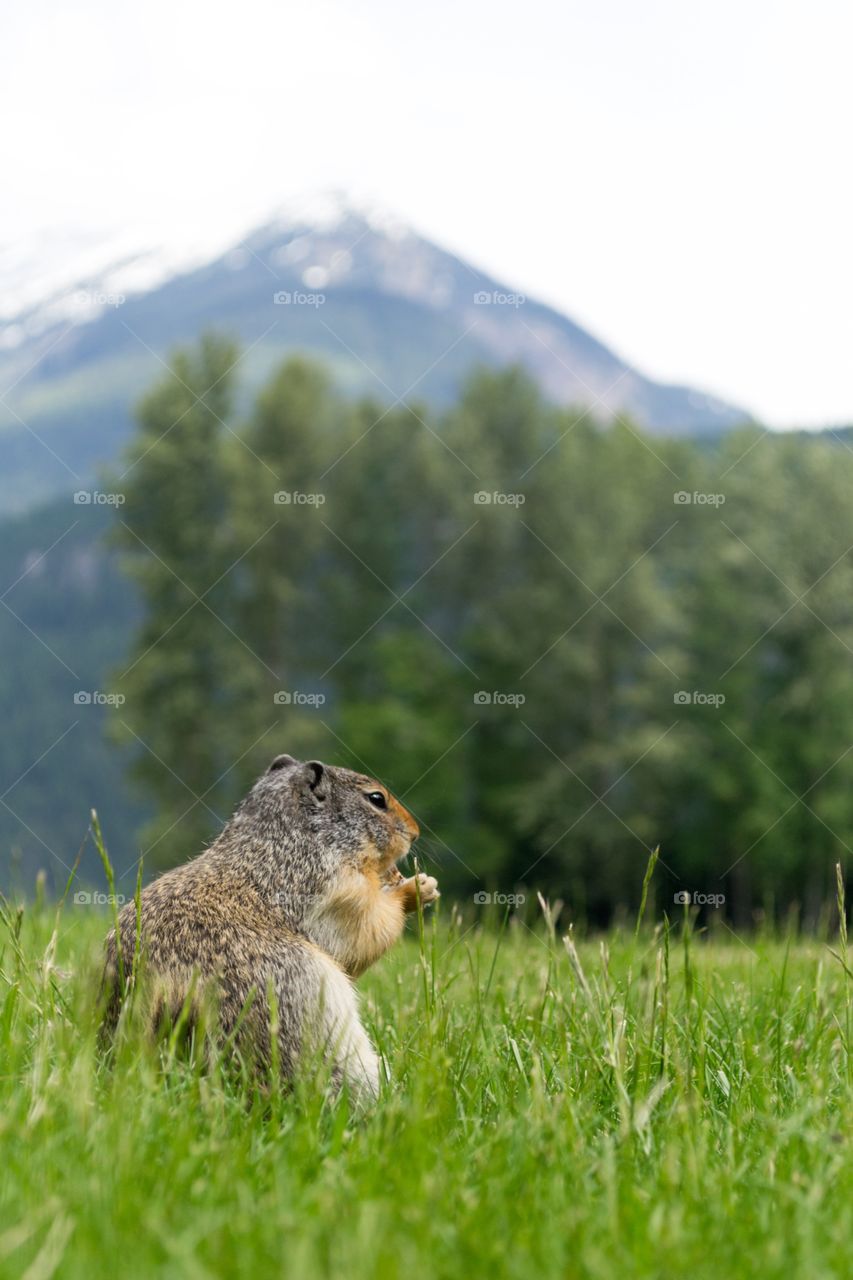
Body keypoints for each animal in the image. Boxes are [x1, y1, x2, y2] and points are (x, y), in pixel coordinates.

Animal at [103, 752, 438, 1105]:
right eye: (376, 799)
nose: (415, 832)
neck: (283, 840)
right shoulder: (336, 890)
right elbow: (363, 931)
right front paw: (416, 888)